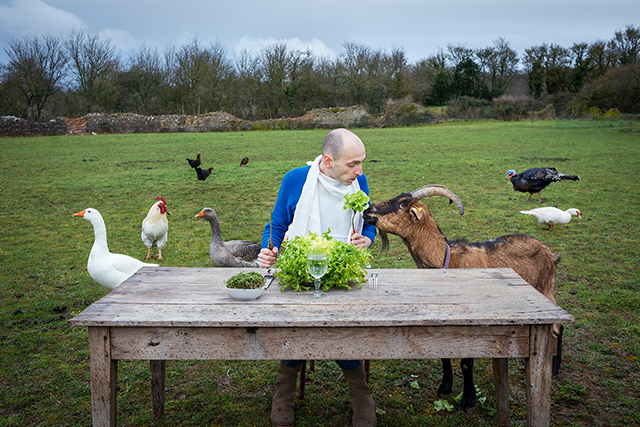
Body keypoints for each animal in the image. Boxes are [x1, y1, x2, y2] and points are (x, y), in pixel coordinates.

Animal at [362, 185, 564, 414]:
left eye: (403, 204)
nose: (367, 210)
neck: (447, 261)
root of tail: (549, 252)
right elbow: (444, 353)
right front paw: (445, 386)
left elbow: (467, 363)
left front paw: (468, 400)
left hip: (546, 287)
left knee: (557, 327)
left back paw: (554, 366)